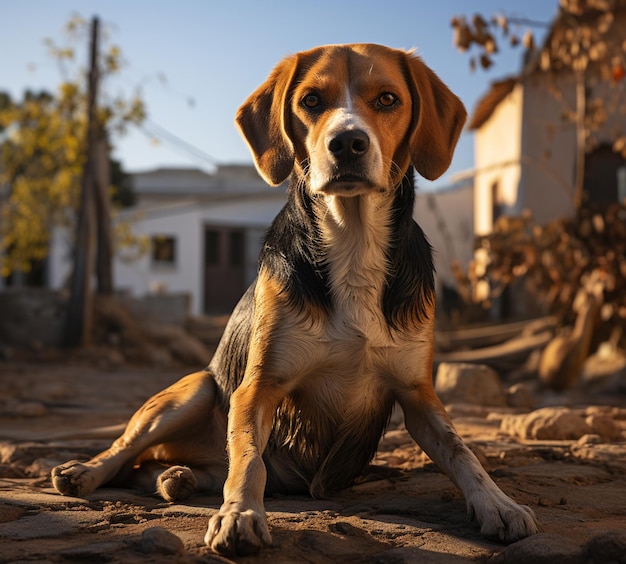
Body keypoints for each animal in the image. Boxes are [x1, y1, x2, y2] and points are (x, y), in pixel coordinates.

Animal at [50, 44, 536, 556]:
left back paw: (175, 478)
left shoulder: (420, 396)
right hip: (194, 390)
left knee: (156, 469)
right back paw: (86, 471)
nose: (348, 143)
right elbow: (249, 460)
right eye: (311, 101)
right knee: (126, 453)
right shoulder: (255, 389)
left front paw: (498, 504)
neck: (353, 242)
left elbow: (464, 452)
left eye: (387, 99)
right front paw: (240, 514)